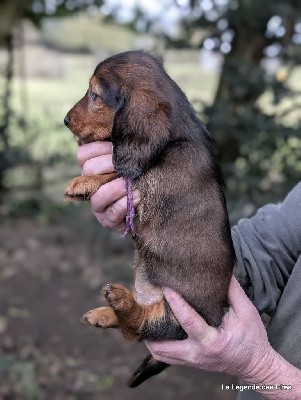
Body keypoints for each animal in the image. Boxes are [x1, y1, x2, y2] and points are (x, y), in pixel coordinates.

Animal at [64, 50, 236, 388]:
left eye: (95, 95)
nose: (65, 120)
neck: (175, 138)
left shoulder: (151, 184)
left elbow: (117, 172)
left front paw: (82, 182)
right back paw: (104, 314)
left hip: (175, 316)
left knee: (138, 326)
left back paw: (120, 301)